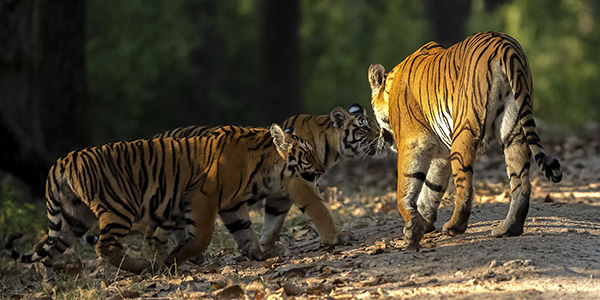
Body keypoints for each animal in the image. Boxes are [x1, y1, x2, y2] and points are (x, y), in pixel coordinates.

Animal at [5, 123, 324, 278]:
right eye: (308, 154)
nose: (322, 170)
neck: (262, 167)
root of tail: (62, 161)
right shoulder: (203, 196)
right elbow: (201, 237)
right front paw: (171, 261)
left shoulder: (232, 205)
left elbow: (245, 233)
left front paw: (260, 256)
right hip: (118, 208)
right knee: (105, 247)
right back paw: (143, 268)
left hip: (73, 218)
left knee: (45, 253)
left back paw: (51, 286)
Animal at [151, 104, 390, 258]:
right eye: (364, 128)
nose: (385, 138)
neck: (330, 146)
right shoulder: (300, 182)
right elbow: (320, 210)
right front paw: (336, 237)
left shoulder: (280, 194)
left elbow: (273, 222)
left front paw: (267, 248)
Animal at [366, 31, 564, 250]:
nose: (381, 138)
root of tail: (506, 45)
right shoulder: (441, 155)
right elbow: (432, 189)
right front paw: (422, 224)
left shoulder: (413, 144)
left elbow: (405, 188)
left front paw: (411, 230)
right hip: (515, 129)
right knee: (521, 182)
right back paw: (508, 228)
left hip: (464, 130)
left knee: (466, 186)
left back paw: (454, 227)